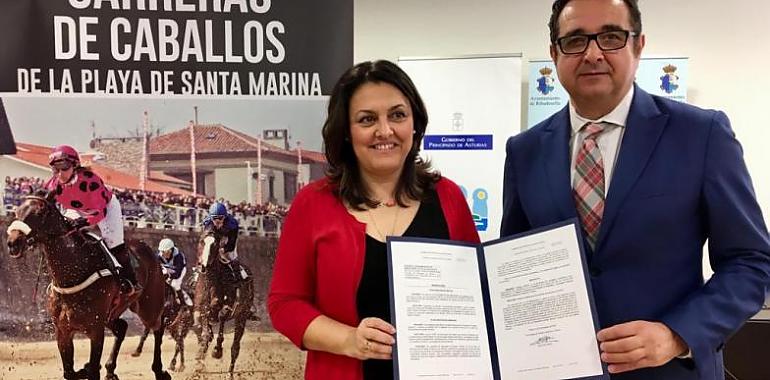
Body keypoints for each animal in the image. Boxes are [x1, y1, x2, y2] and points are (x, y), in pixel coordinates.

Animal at [5, 196, 170, 380]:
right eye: (17, 211)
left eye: (40, 213)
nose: (13, 243)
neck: (74, 274)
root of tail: (151, 252)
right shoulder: (63, 330)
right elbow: (69, 372)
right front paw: (86, 367)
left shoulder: (96, 330)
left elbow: (91, 371)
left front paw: (90, 367)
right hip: (113, 313)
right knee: (122, 327)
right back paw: (110, 369)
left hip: (149, 306)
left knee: (158, 327)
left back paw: (160, 370)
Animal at [194, 233, 254, 376]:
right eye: (201, 242)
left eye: (215, 244)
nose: (204, 266)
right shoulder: (202, 310)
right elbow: (205, 332)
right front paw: (199, 359)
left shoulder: (228, 308)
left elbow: (221, 316)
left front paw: (217, 350)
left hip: (242, 317)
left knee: (235, 348)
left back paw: (230, 373)